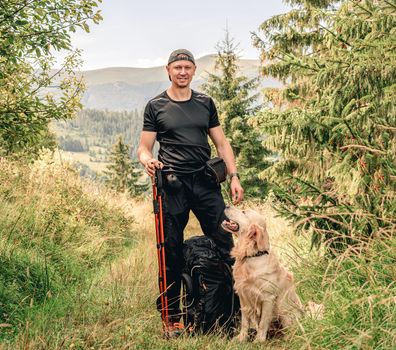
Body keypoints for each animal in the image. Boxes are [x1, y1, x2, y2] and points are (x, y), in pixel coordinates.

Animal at [223, 208, 304, 342]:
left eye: (244, 211)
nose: (227, 206)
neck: (252, 255)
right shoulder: (243, 296)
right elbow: (245, 322)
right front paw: (242, 338)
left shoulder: (267, 298)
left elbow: (263, 323)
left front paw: (259, 340)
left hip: (283, 308)